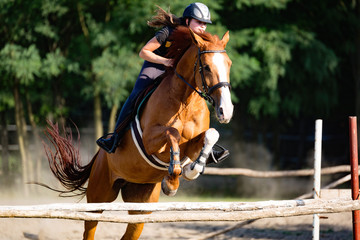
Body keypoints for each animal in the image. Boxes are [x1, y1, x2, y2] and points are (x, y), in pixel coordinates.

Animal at [44, 26, 233, 240]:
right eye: (207, 67)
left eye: (229, 64)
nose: (226, 111)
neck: (186, 100)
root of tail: (99, 157)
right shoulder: (150, 140)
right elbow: (173, 133)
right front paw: (172, 181)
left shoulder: (192, 145)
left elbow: (211, 134)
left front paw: (192, 169)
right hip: (99, 195)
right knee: (90, 225)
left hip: (141, 204)